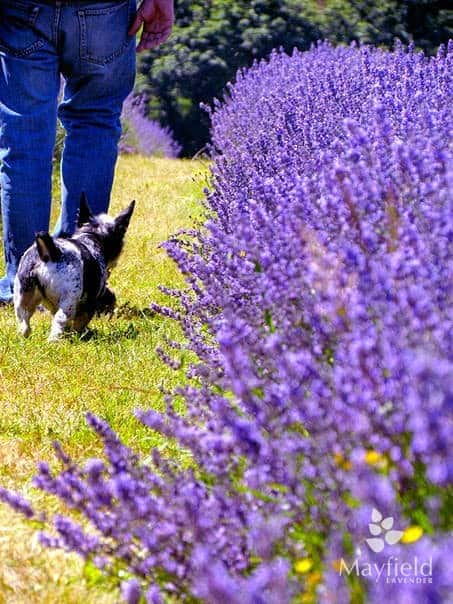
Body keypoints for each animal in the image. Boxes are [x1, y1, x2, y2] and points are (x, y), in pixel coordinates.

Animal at [14, 196, 134, 342]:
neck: (90, 237)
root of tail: (50, 252)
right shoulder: (89, 303)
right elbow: (80, 321)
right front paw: (79, 335)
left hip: (23, 296)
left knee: (24, 323)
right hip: (68, 302)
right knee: (59, 321)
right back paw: (54, 341)